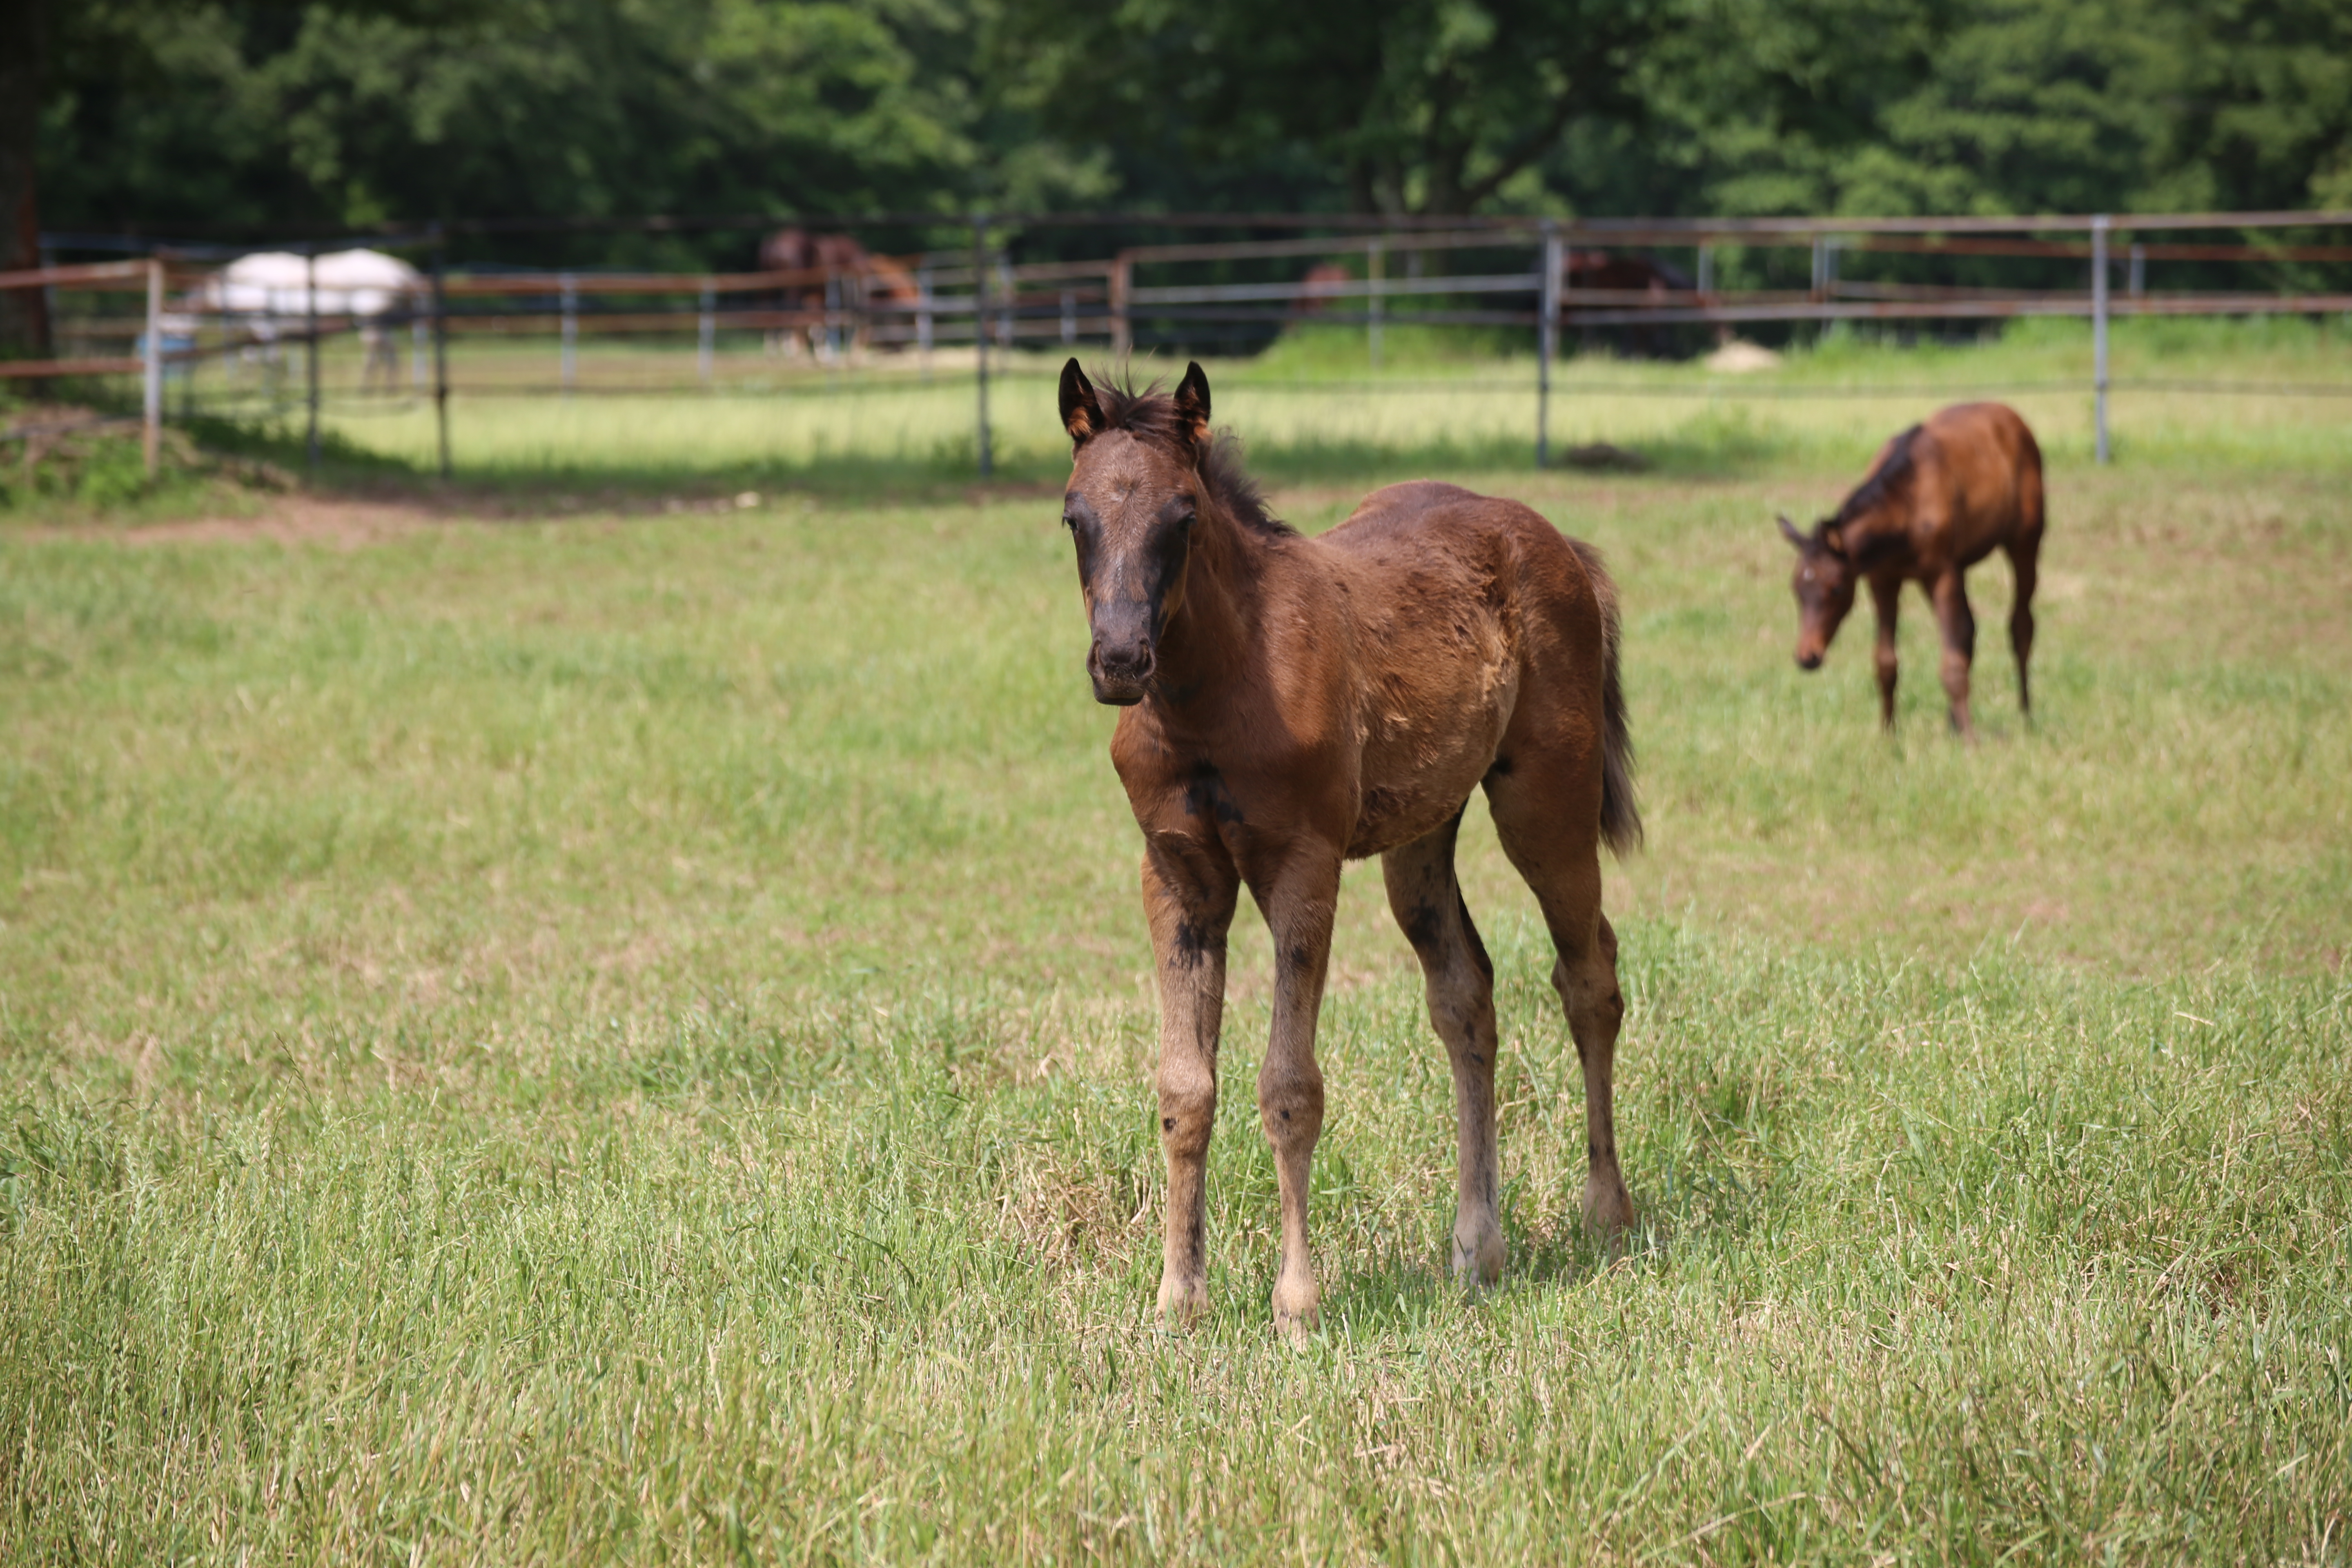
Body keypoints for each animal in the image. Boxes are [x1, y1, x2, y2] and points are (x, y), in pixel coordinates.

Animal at [1058, 359, 1646, 1335]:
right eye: (1075, 515)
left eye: (1184, 516)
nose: (1120, 661)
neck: (1215, 689)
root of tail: (1559, 541)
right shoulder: (1176, 873)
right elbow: (1185, 1090)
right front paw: (1179, 1300)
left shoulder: (1303, 865)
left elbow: (1290, 1088)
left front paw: (1295, 1304)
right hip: (1423, 835)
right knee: (1466, 997)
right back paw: (1476, 1248)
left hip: (1545, 806)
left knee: (1589, 976)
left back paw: (1606, 1213)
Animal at [1778, 395, 2041, 733]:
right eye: (1797, 588)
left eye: (1836, 588)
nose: (1807, 657)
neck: (1907, 503)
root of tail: (2011, 415)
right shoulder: (1883, 581)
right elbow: (1886, 662)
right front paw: (1889, 736)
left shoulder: (1940, 575)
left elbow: (1951, 663)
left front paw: (1972, 740)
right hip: (1960, 566)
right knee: (1968, 629)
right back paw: (1954, 722)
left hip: (2025, 542)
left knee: (2021, 624)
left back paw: (2025, 716)